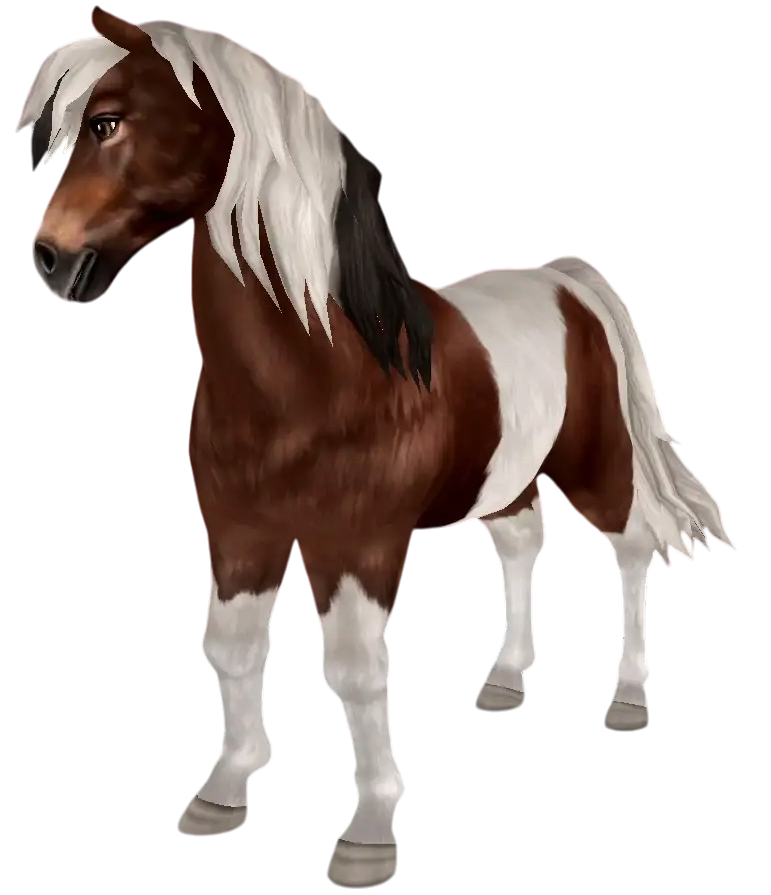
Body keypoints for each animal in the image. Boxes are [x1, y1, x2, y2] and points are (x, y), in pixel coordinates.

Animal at [17, 8, 735, 888]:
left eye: (107, 122)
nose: (52, 259)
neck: (321, 368)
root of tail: (567, 281)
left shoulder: (356, 543)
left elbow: (354, 669)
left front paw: (367, 831)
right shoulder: (239, 529)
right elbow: (229, 648)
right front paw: (224, 788)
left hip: (594, 468)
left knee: (629, 551)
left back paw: (627, 697)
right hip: (503, 481)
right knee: (521, 546)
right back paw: (504, 680)